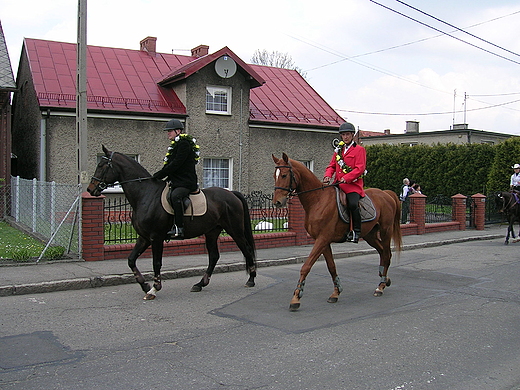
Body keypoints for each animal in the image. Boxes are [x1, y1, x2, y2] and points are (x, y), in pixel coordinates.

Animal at [88, 145, 256, 300]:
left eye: (101, 165)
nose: (90, 189)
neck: (145, 195)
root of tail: (231, 194)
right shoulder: (144, 237)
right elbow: (131, 260)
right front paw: (145, 285)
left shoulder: (156, 237)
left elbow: (156, 262)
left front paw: (154, 289)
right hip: (212, 232)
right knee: (214, 256)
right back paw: (200, 284)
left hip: (235, 230)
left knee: (246, 249)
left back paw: (251, 279)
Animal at [272, 152, 402, 310]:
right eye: (274, 175)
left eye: (284, 175)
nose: (277, 202)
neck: (317, 200)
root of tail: (386, 193)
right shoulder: (323, 241)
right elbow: (331, 266)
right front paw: (336, 292)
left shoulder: (322, 239)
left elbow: (306, 266)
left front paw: (296, 298)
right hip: (370, 235)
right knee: (382, 252)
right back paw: (384, 279)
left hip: (385, 231)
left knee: (387, 254)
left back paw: (381, 286)